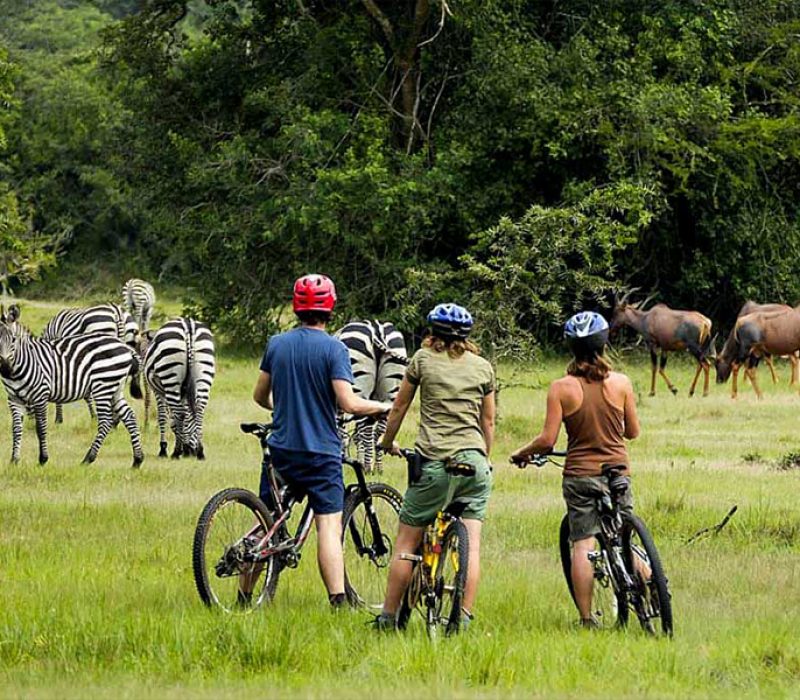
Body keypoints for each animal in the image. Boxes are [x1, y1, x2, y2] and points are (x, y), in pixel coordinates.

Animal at [0, 323, 144, 467]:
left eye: (13, 340)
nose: (5, 368)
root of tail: (125, 346)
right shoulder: (14, 399)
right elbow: (16, 429)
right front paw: (14, 460)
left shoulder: (40, 395)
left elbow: (40, 428)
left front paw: (43, 459)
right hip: (115, 389)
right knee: (129, 416)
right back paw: (137, 460)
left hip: (103, 386)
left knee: (105, 421)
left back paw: (88, 459)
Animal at [144, 317, 215, 460]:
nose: (192, 452)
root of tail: (188, 325)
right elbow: (186, 416)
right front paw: (186, 446)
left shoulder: (159, 392)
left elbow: (164, 417)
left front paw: (164, 449)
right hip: (204, 373)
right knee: (199, 409)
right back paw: (200, 451)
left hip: (170, 376)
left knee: (180, 413)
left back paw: (176, 452)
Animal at [336, 320, 408, 473]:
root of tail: (376, 329)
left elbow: (343, 431)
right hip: (390, 393)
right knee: (379, 429)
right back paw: (378, 468)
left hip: (359, 388)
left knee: (366, 428)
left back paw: (367, 468)